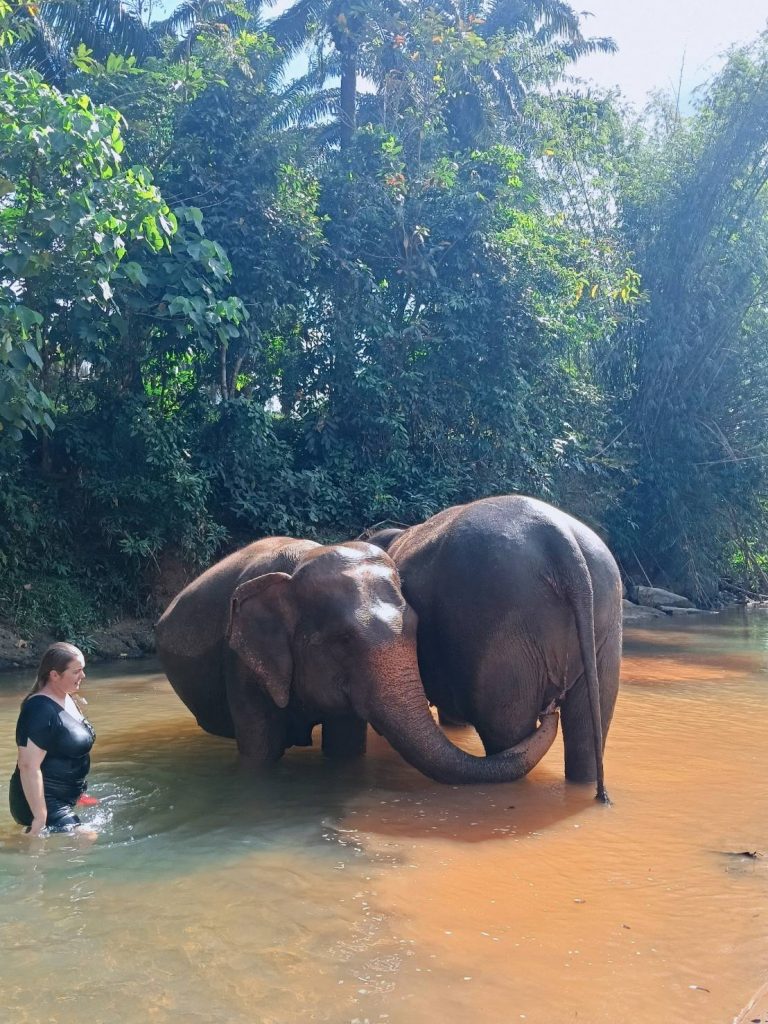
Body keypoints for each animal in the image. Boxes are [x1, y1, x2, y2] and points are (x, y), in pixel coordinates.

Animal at [155, 537, 559, 785]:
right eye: (343, 640)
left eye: (418, 629)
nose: (551, 705)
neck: (300, 563)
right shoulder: (241, 663)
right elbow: (260, 751)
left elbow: (345, 747)